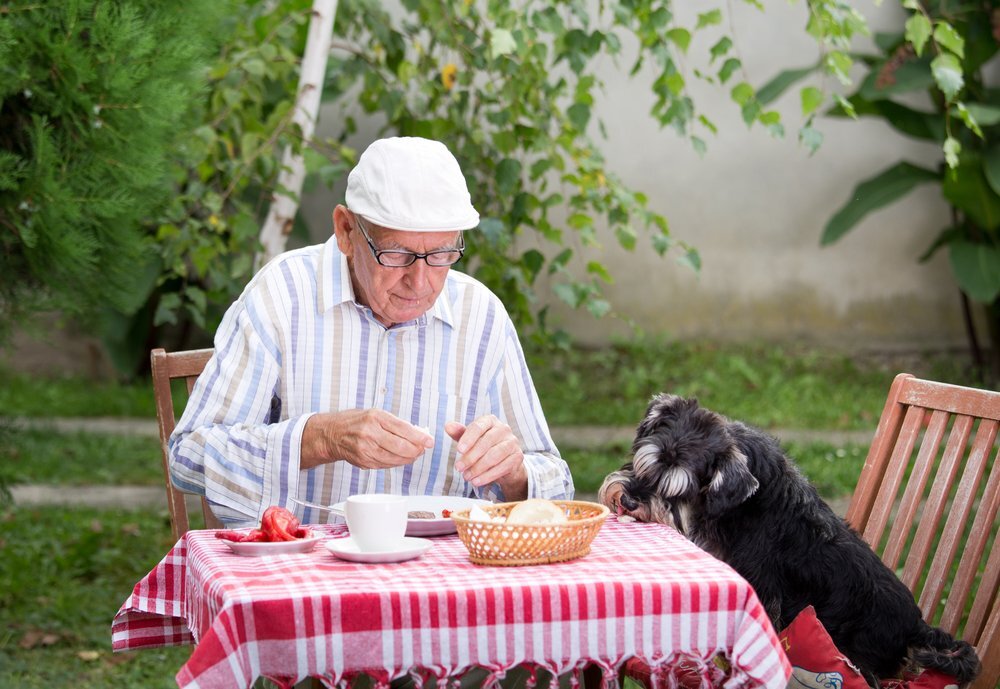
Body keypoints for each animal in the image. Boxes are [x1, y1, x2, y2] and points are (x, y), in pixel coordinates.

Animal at [596, 396, 980, 684]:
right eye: (644, 462)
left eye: (679, 489)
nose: (629, 500)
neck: (730, 505)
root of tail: (917, 626)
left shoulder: (761, 588)